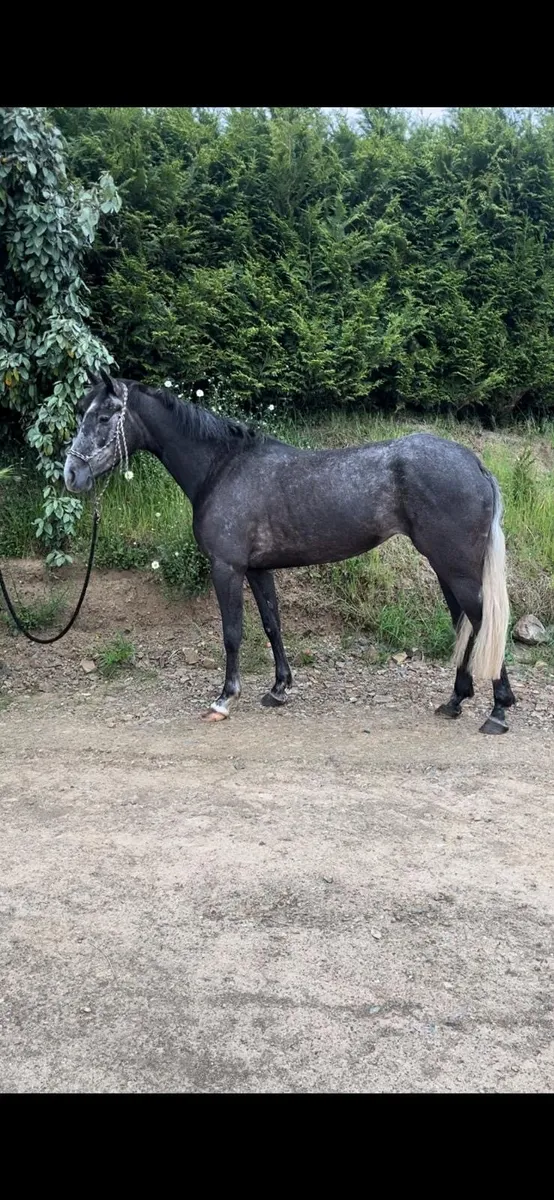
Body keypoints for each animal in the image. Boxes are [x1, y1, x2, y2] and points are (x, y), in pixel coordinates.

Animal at [64, 369, 515, 734]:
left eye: (104, 416)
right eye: (83, 411)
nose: (71, 473)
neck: (223, 468)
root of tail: (476, 465)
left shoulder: (226, 568)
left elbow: (232, 633)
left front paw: (224, 699)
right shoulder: (257, 569)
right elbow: (271, 625)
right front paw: (279, 689)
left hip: (457, 568)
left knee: (482, 620)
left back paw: (498, 711)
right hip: (446, 569)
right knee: (466, 624)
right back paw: (454, 702)